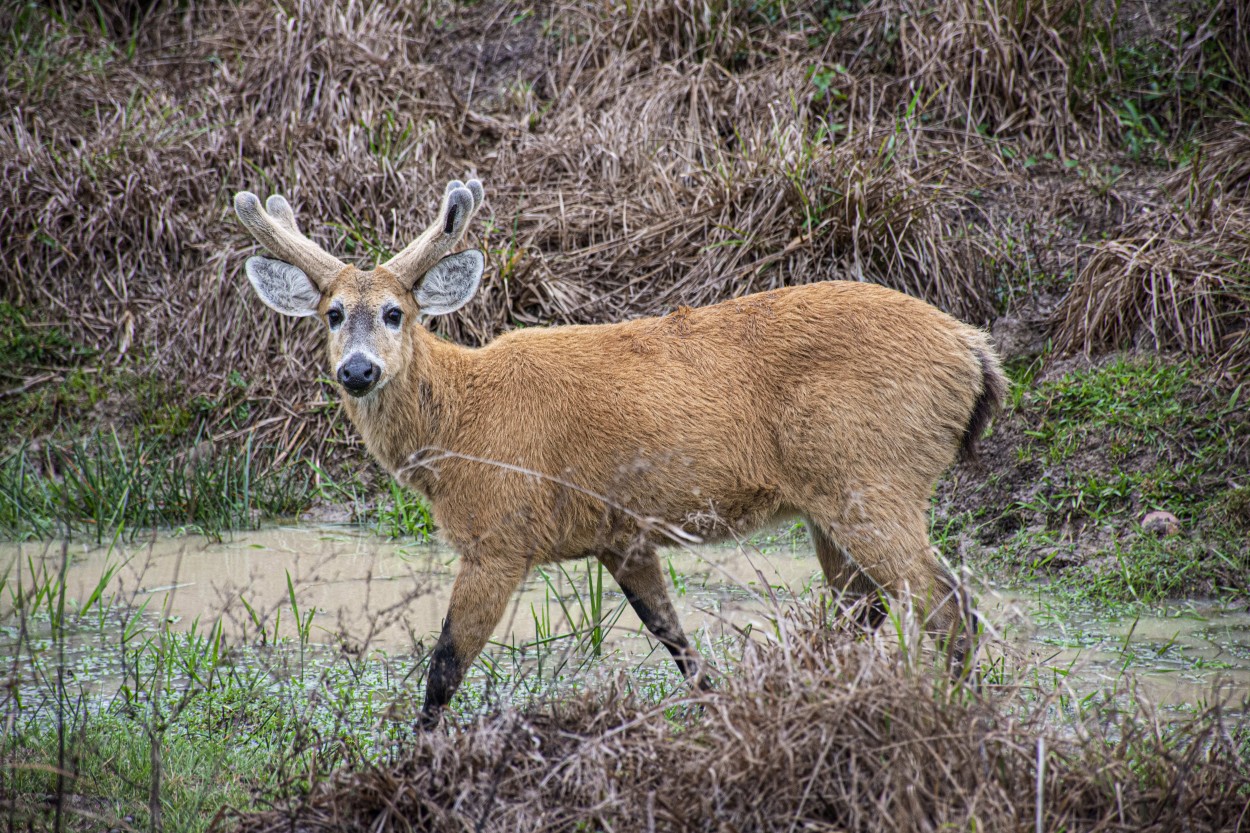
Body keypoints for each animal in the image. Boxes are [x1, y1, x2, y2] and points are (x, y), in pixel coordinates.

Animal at [235, 178, 1010, 725]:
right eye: (333, 314)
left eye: (396, 312)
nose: (357, 370)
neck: (462, 424)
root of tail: (976, 353)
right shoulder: (621, 535)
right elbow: (678, 644)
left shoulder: (501, 534)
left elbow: (444, 668)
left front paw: (415, 762)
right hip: (831, 503)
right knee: (866, 611)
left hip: (872, 478)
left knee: (947, 607)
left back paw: (957, 716)